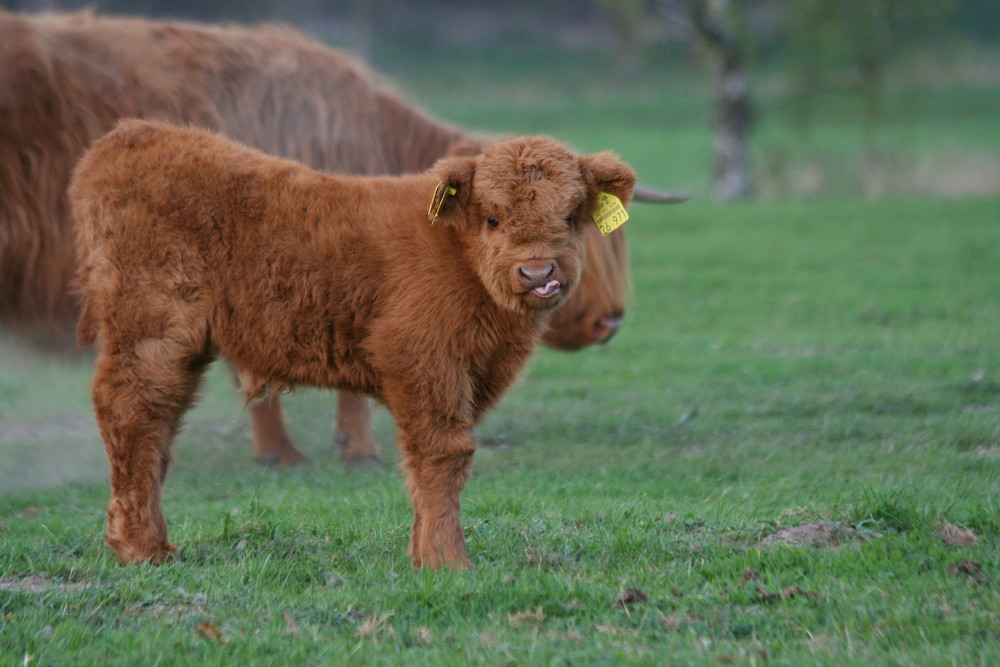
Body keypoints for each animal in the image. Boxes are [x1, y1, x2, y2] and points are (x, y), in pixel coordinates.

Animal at [70, 120, 636, 568]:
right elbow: (444, 455)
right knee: (133, 414)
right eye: (492, 218)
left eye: (571, 216)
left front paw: (420, 554)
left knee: (160, 426)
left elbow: (425, 464)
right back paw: (142, 548)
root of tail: (134, 135)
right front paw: (447, 561)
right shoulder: (422, 359)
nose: (538, 273)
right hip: (152, 331)